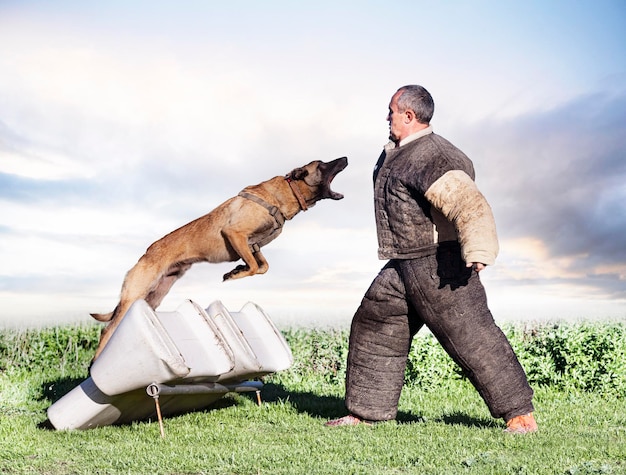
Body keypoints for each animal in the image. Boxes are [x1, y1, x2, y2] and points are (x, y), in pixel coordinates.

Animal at [89, 157, 346, 360]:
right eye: (322, 164)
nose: (345, 158)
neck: (287, 192)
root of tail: (145, 255)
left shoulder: (252, 245)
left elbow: (262, 266)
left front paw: (237, 270)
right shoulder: (235, 234)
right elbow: (255, 266)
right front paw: (234, 273)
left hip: (152, 298)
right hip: (134, 295)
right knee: (107, 330)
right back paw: (96, 362)